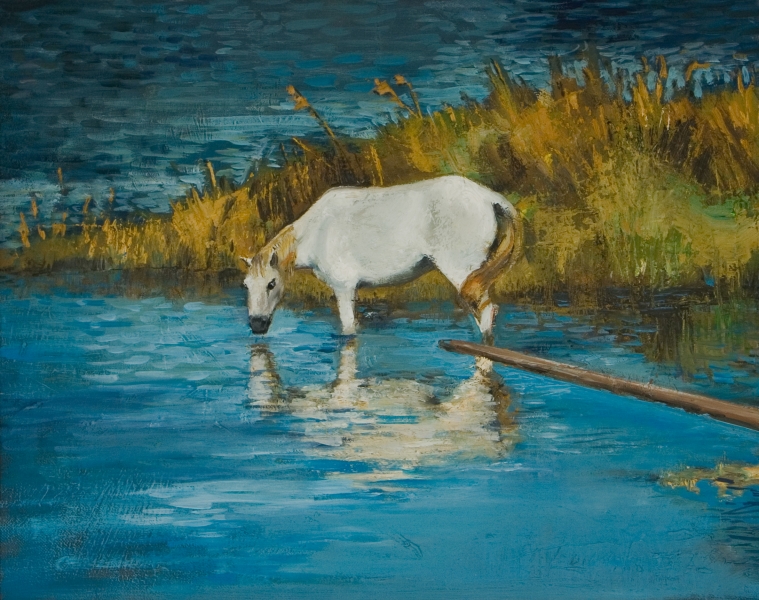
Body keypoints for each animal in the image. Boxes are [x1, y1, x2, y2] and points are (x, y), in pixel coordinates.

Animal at [240, 175, 522, 337]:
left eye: (271, 284)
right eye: (246, 286)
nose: (257, 325)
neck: (317, 230)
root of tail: (487, 197)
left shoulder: (344, 287)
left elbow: (349, 330)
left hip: (462, 270)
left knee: (486, 313)